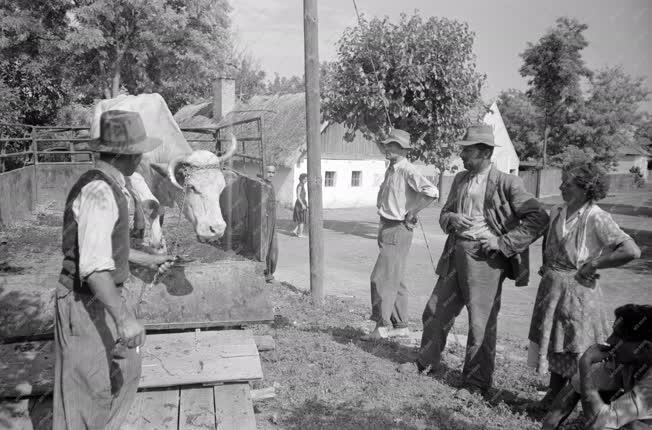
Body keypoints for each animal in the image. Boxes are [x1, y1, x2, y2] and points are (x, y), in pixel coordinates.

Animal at [90, 93, 236, 254]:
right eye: (192, 187)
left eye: (221, 188)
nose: (217, 229)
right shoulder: (135, 175)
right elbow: (152, 205)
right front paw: (157, 244)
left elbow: (159, 210)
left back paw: (138, 227)